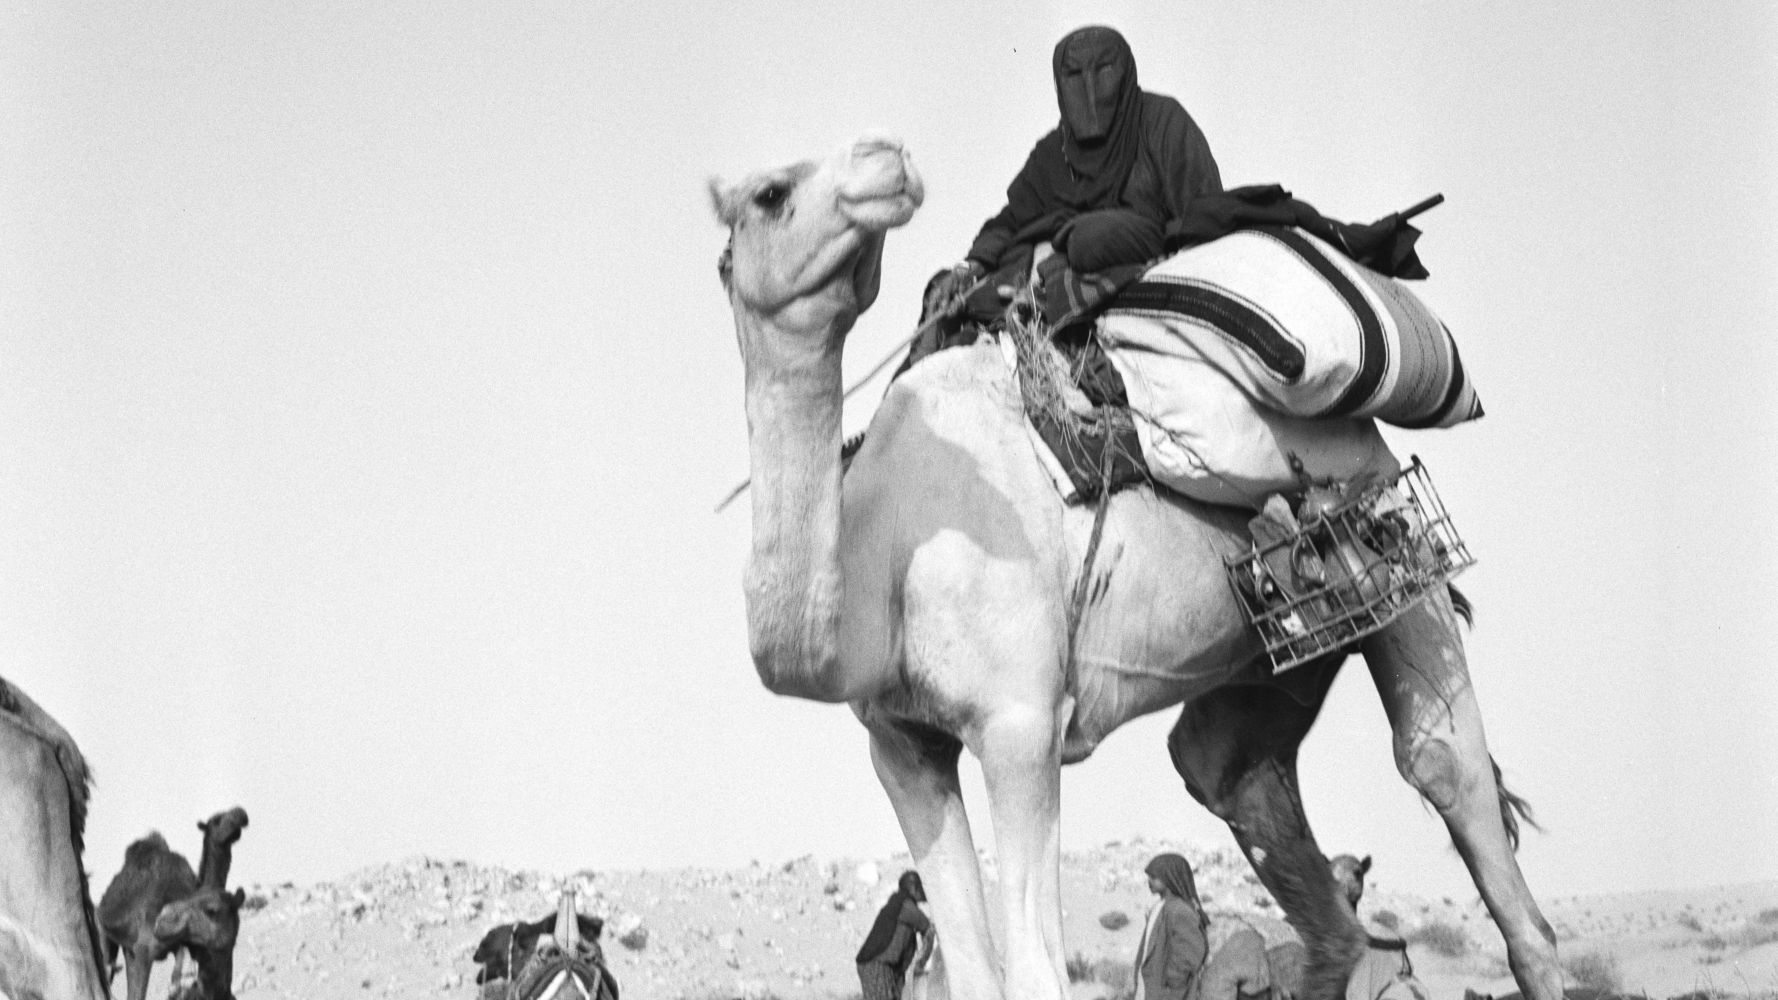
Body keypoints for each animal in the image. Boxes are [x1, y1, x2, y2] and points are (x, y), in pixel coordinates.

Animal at [99, 807, 249, 1000]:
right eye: (217, 820)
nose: (240, 813)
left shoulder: (184, 943)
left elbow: (181, 956)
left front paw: (175, 988)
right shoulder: (145, 947)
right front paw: (174, 988)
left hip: (128, 947)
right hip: (105, 933)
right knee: (108, 964)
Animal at [711, 133, 1562, 1000]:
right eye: (771, 194)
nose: (885, 155)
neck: (885, 555)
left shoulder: (1019, 724)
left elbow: (1036, 972)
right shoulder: (901, 745)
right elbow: (975, 968)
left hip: (1391, 548)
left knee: (1449, 780)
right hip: (1271, 645)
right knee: (1239, 789)